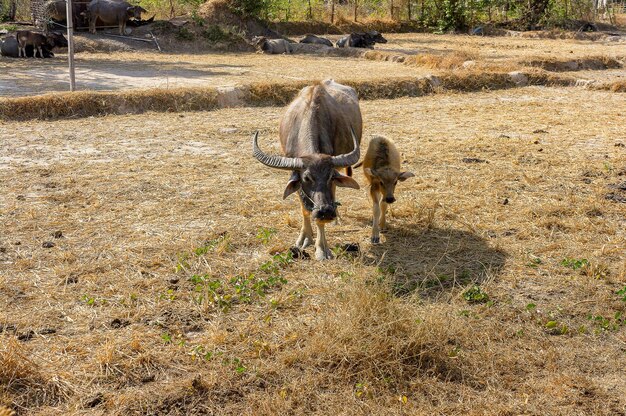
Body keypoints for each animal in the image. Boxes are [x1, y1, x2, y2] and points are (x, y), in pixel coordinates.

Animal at [252, 79, 364, 258]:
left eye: (331, 177)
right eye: (306, 178)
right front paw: (305, 237)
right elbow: (304, 208)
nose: (326, 211)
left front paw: (322, 249)